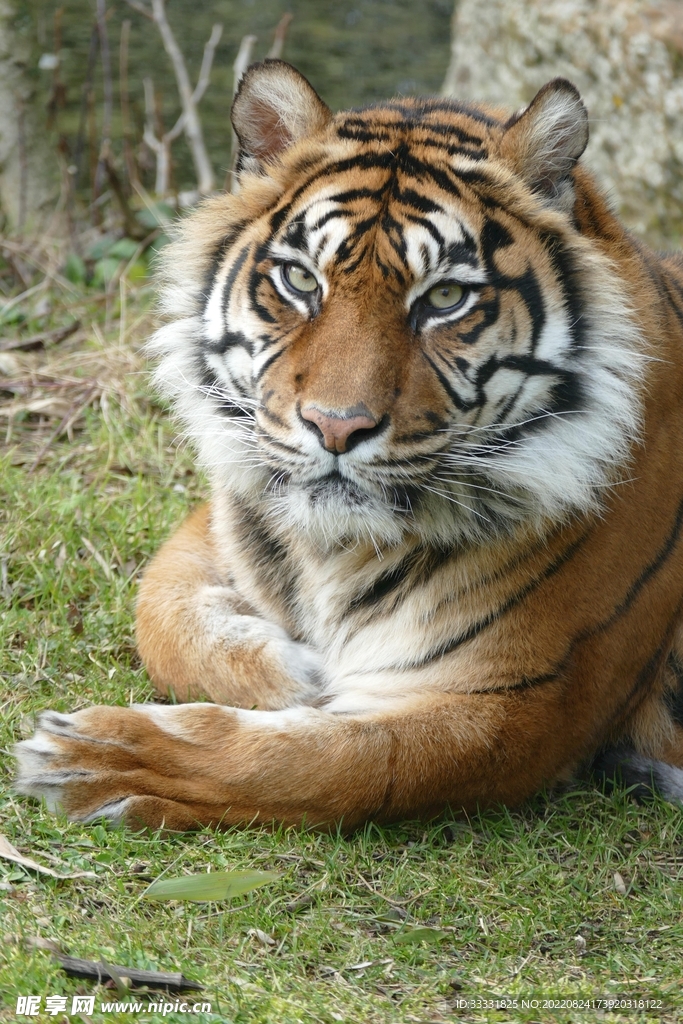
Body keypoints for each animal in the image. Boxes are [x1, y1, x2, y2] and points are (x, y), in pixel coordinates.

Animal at [15, 59, 683, 831]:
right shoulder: (211, 525)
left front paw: (99, 758)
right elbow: (159, 611)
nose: (336, 427)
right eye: (301, 279)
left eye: (446, 297)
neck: (333, 551)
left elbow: (324, 764)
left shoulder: (519, 704)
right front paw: (291, 673)